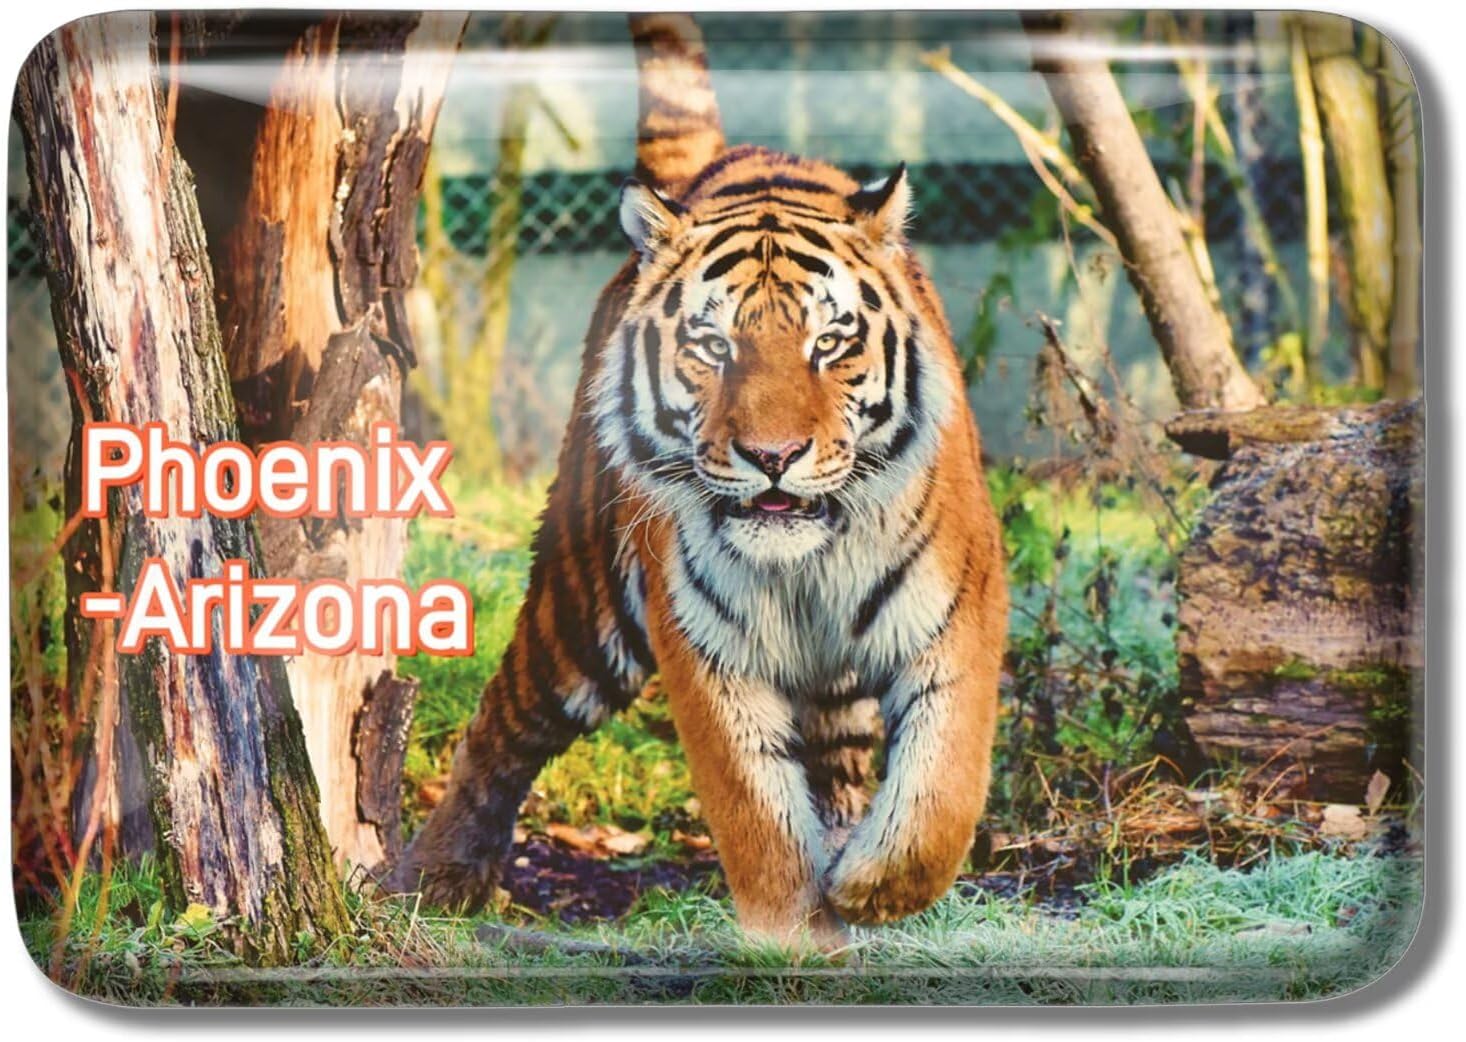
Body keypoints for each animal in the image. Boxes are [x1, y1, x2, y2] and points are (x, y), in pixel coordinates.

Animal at [387, 13, 1008, 945]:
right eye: (714, 346)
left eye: (831, 342)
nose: (773, 455)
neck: (806, 564)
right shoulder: (705, 646)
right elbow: (756, 815)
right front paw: (793, 930)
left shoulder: (959, 608)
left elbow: (942, 789)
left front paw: (871, 889)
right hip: (583, 605)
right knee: (503, 723)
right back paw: (437, 876)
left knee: (839, 762)